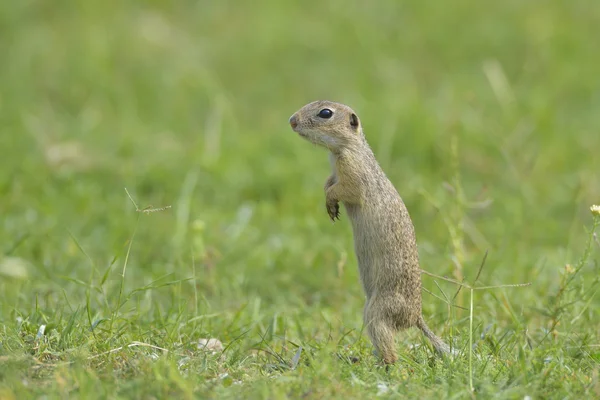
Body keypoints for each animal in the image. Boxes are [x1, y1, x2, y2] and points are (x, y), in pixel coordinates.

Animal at [290, 99, 450, 362]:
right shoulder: (334, 172)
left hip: (377, 311)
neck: (344, 150)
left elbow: (342, 189)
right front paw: (329, 206)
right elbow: (328, 183)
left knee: (391, 351)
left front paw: (331, 202)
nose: (292, 121)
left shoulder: (352, 173)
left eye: (326, 113)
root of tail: (416, 317)